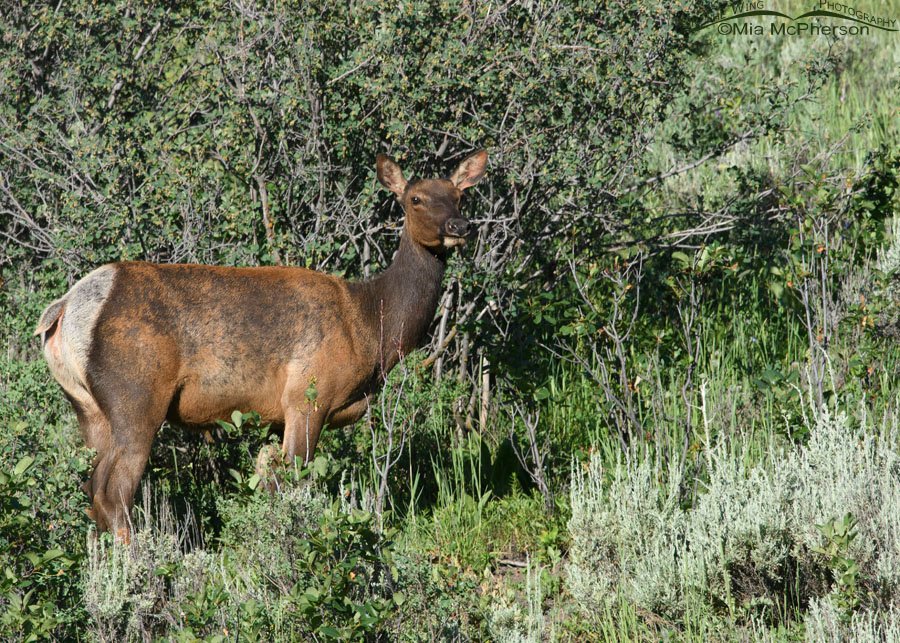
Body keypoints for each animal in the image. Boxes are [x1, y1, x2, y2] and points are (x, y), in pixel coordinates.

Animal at [34, 150, 487, 540]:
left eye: (459, 195)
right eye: (415, 199)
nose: (460, 227)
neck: (369, 327)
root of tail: (64, 310)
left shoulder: (277, 415)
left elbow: (268, 479)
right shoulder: (307, 395)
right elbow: (292, 483)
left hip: (88, 408)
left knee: (90, 489)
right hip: (136, 394)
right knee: (112, 492)